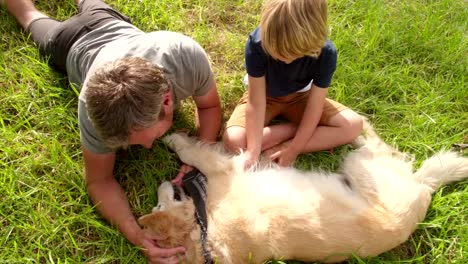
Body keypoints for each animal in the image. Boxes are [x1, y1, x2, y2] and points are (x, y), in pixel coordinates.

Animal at [138, 122, 468, 262]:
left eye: (157, 208)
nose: (161, 184)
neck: (206, 232)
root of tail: (424, 191)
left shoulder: (225, 170)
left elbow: (193, 153)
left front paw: (173, 139)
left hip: (361, 167)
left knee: (380, 145)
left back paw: (360, 127)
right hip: (366, 170)